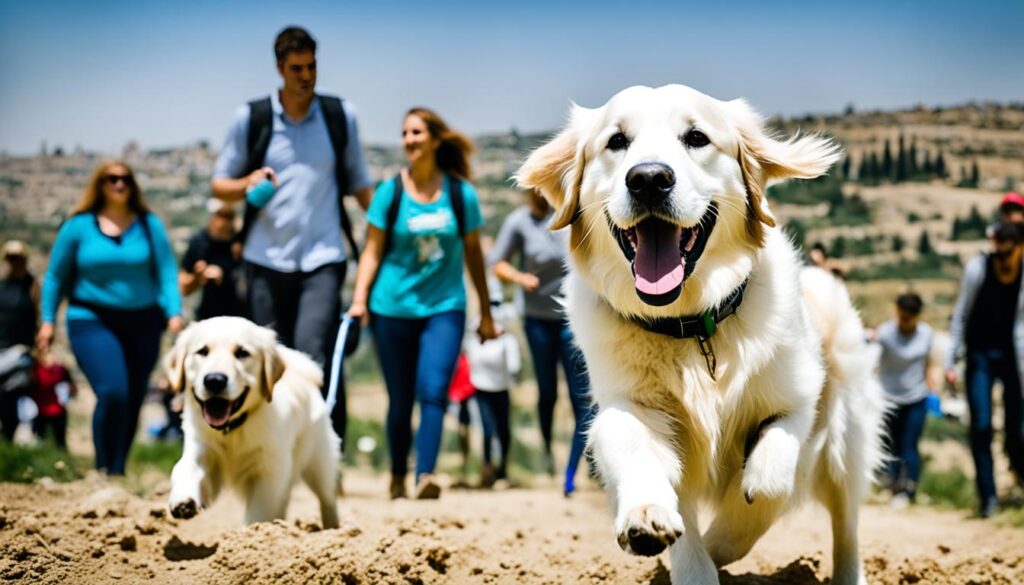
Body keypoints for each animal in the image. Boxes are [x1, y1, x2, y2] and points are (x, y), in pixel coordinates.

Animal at [163, 317, 339, 528]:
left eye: (242, 353)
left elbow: (259, 512)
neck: (232, 429)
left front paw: (252, 532)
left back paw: (334, 529)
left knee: (327, 497)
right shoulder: (201, 448)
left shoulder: (268, 473)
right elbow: (185, 468)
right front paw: (183, 500)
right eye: (203, 351)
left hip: (318, 463)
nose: (214, 380)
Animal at [520, 83, 888, 585]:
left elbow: (769, 482)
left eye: (696, 137)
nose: (649, 179)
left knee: (845, 525)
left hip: (847, 439)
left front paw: (726, 537)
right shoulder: (626, 405)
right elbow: (640, 459)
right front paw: (649, 521)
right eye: (617, 141)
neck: (692, 326)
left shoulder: (798, 398)